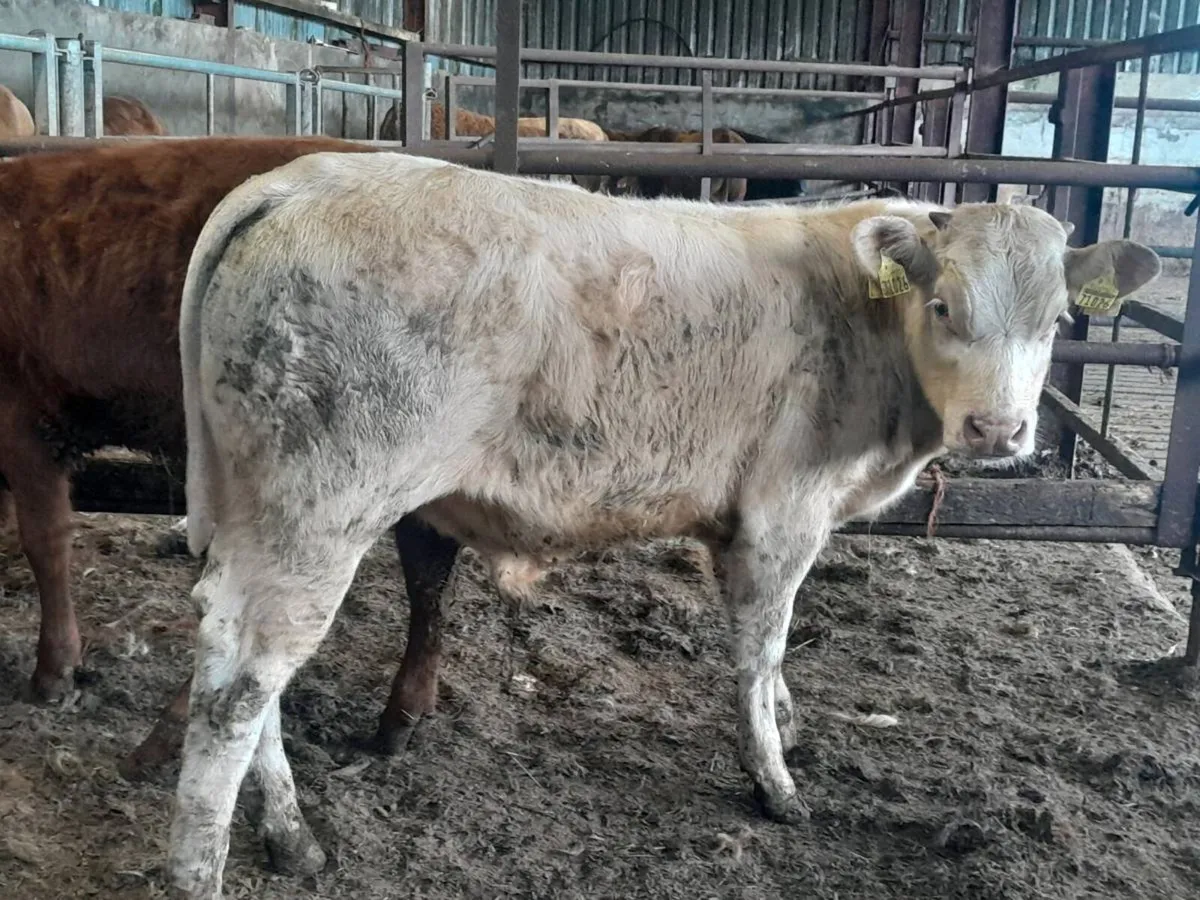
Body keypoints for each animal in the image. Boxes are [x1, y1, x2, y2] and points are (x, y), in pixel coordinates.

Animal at [165, 150, 1160, 897]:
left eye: (1058, 319)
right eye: (946, 306)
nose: (999, 429)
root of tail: (298, 179)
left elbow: (773, 658)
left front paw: (788, 724)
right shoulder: (784, 510)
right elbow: (761, 645)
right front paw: (775, 780)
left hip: (258, 503)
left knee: (233, 646)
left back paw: (291, 837)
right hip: (324, 504)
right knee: (243, 683)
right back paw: (201, 868)